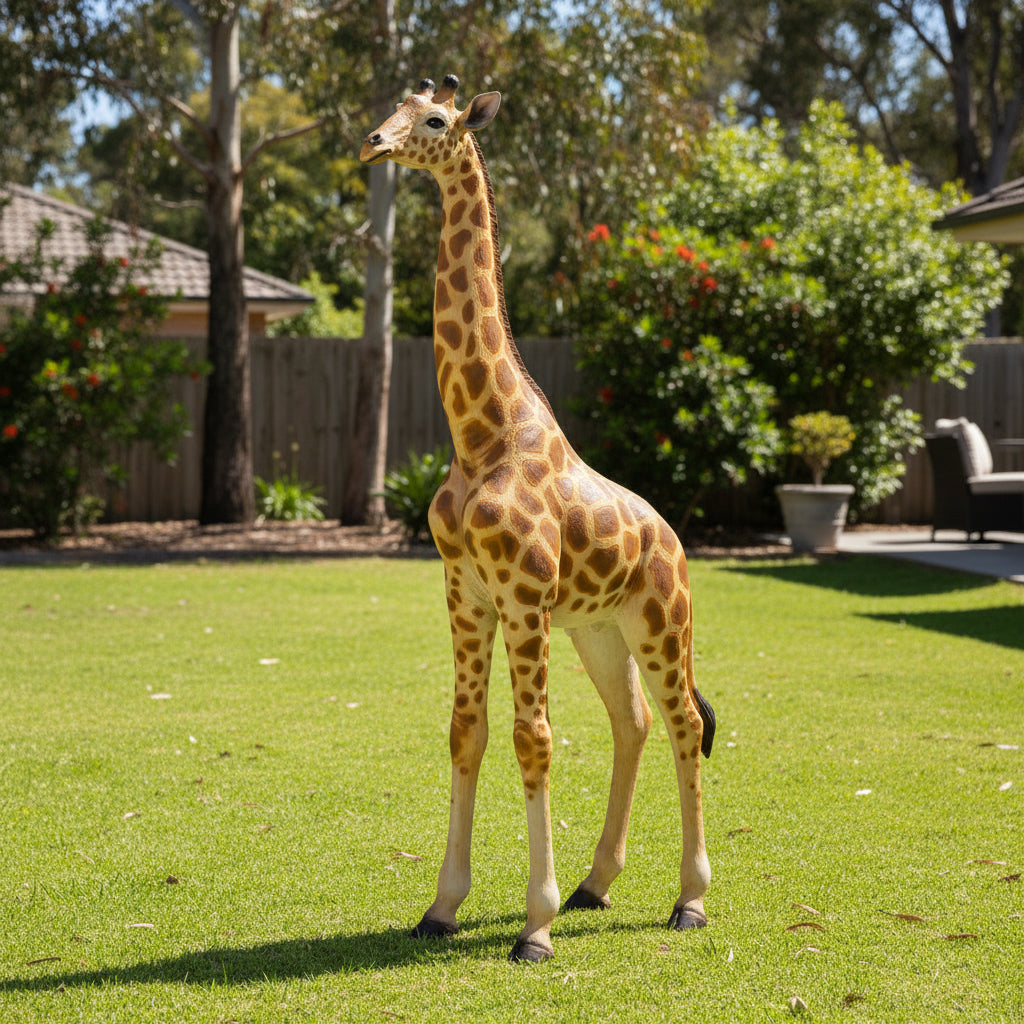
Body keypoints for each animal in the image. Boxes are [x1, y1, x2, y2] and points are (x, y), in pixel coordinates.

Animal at [360, 74, 715, 963]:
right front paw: (442, 907)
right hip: (599, 629)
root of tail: (675, 541)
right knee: (632, 722)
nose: (372, 143)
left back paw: (690, 900)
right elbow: (468, 730)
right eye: (393, 105)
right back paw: (597, 884)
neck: (480, 433)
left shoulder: (521, 596)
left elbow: (535, 738)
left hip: (662, 621)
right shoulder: (465, 593)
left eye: (435, 120)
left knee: (683, 722)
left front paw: (535, 926)